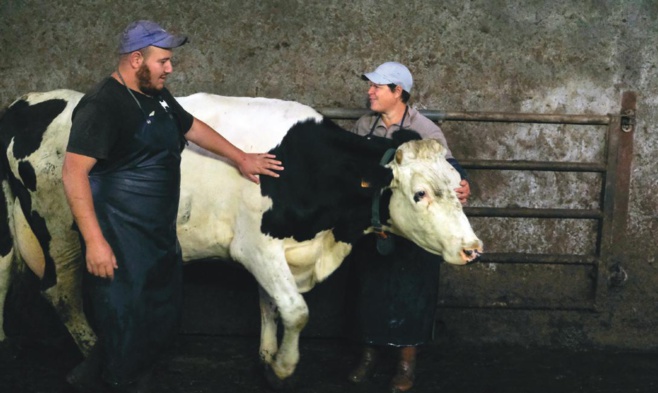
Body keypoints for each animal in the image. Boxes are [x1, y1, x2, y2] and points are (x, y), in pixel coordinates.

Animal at [1, 88, 482, 380]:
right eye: (419, 194)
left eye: (456, 185)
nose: (473, 248)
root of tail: (29, 101)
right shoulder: (254, 245)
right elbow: (296, 310)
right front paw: (285, 366)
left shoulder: (277, 253)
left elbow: (271, 304)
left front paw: (267, 357)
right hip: (60, 228)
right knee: (61, 292)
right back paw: (93, 353)